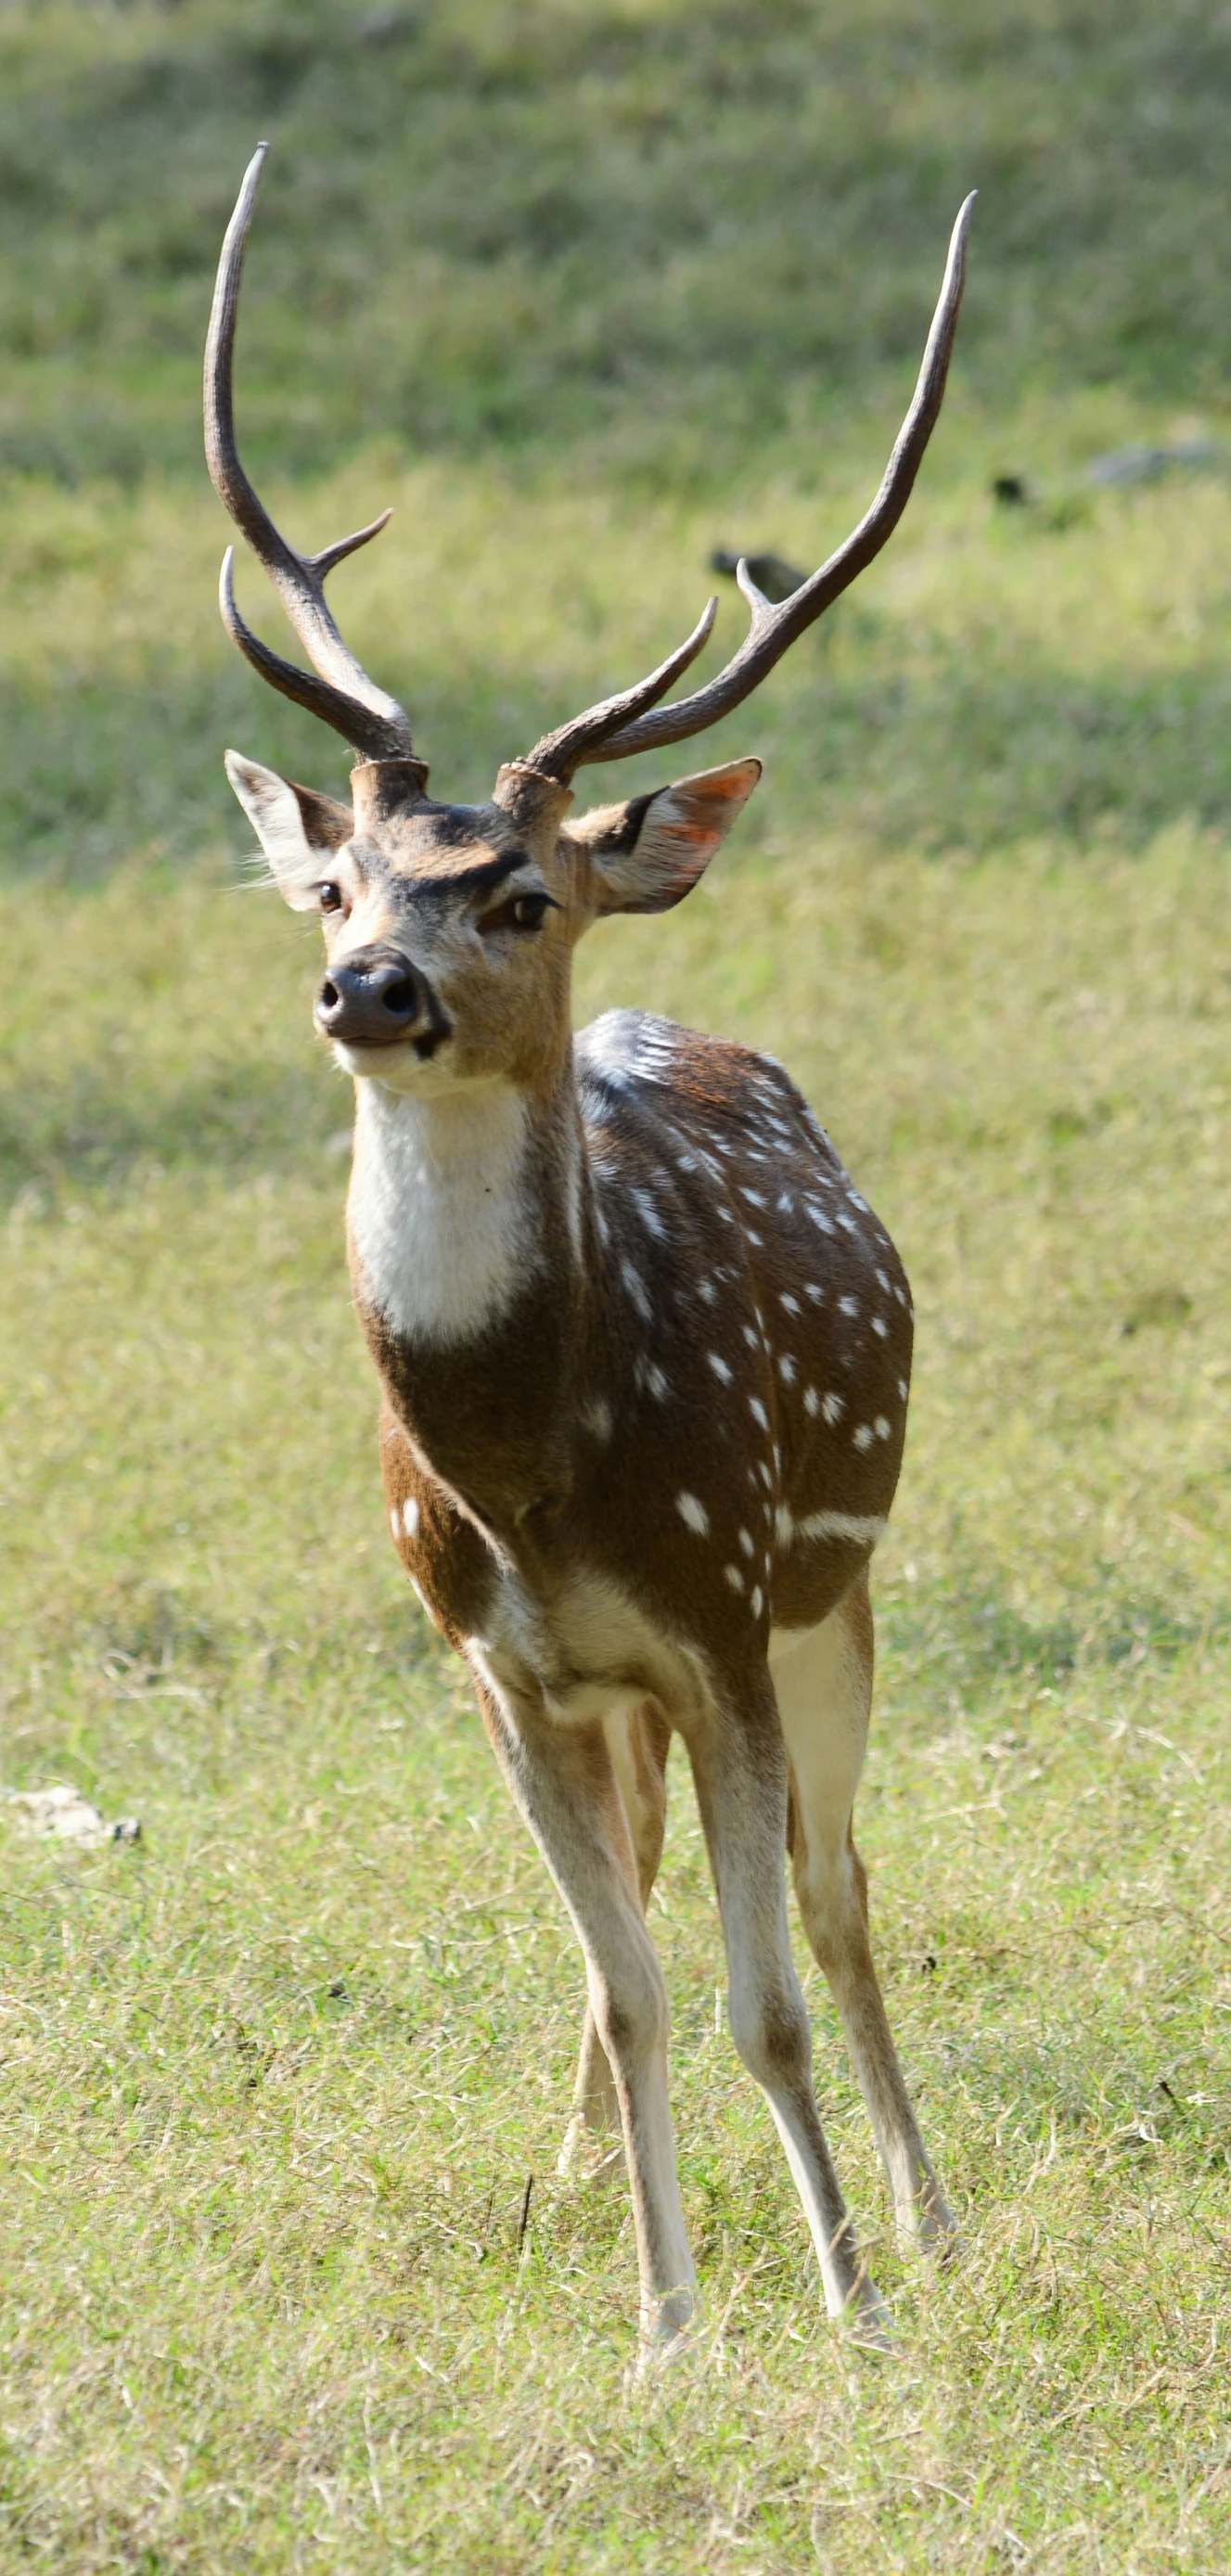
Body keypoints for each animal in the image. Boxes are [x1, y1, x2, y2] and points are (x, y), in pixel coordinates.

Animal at [204, 141, 973, 2359]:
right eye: (339, 883)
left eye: (519, 892)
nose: (368, 986)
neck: (530, 1472)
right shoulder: (491, 1656)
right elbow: (631, 1983)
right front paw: (661, 2316)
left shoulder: (718, 1613)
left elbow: (764, 1988)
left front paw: (850, 2302)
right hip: (633, 1681)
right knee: (634, 1911)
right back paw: (582, 2180)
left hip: (834, 1586)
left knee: (843, 1891)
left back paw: (932, 2217)